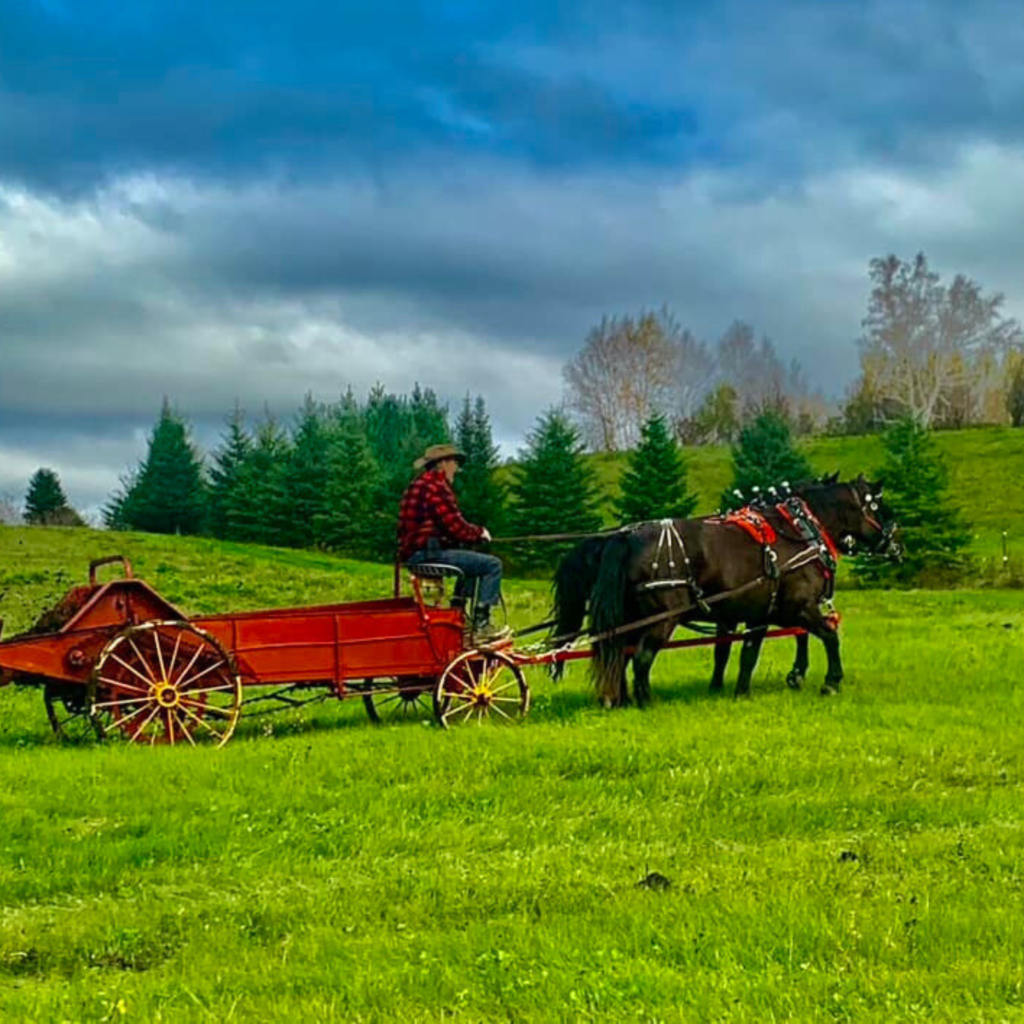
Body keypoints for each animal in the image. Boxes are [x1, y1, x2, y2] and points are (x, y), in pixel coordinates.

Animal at [552, 477, 897, 704]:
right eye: (878, 506)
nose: (897, 546)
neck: (802, 533)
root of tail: (625, 537)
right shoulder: (799, 606)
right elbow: (827, 635)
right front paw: (830, 681)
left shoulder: (759, 613)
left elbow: (743, 652)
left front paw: (739, 690)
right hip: (661, 618)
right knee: (641, 657)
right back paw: (645, 701)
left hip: (630, 618)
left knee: (620, 655)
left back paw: (619, 700)